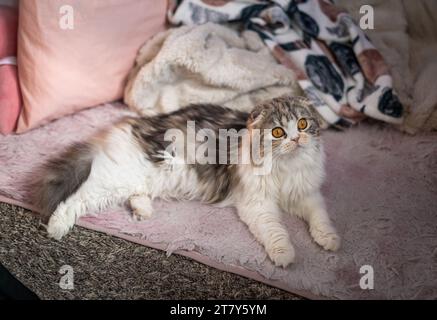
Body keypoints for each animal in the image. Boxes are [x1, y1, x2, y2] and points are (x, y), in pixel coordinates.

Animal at [35, 95, 338, 268]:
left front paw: (329, 239)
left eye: (302, 124)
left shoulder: (307, 194)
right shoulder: (257, 204)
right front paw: (285, 254)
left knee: (135, 193)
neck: (287, 167)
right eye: (277, 132)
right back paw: (57, 227)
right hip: (115, 180)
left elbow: (320, 217)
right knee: (76, 198)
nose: (296, 139)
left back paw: (143, 211)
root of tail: (132, 126)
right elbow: (275, 231)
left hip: (138, 181)